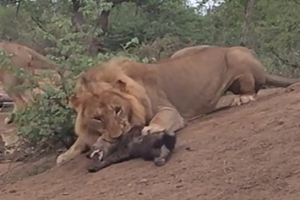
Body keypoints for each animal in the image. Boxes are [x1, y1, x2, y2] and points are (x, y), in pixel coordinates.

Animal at [56, 45, 300, 166]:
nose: (117, 137)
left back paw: (243, 98)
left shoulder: (167, 109)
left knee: (252, 89)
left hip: (236, 56)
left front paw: (150, 130)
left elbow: (158, 120)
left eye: (117, 110)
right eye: (97, 118)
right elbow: (79, 142)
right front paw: (65, 155)